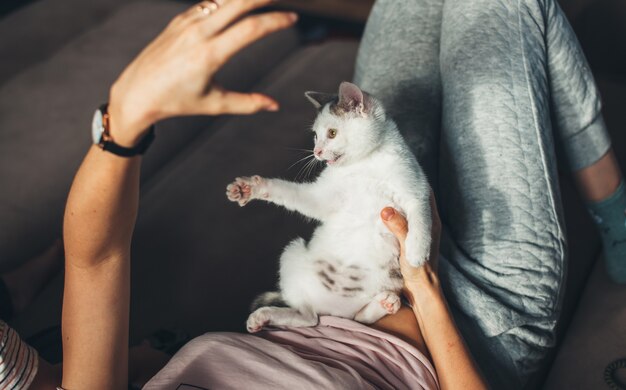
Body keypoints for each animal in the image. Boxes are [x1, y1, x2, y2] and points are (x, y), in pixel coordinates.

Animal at [227, 81, 432, 332]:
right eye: (315, 136)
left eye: (332, 133)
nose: (317, 152)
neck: (363, 164)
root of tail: (332, 309)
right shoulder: (322, 198)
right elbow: (291, 194)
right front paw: (251, 187)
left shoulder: (415, 188)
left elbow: (420, 215)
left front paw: (416, 251)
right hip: (292, 252)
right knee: (309, 317)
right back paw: (264, 316)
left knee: (353, 319)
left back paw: (385, 303)